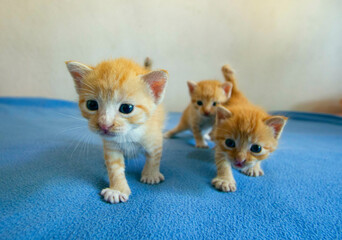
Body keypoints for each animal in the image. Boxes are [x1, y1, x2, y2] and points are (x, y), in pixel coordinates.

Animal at [66, 57, 168, 203]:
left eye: (127, 108)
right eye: (91, 105)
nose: (104, 125)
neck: (128, 134)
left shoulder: (155, 139)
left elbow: (154, 158)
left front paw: (151, 175)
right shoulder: (111, 147)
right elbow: (114, 168)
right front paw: (117, 189)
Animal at [212, 64, 288, 192]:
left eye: (256, 148)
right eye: (229, 143)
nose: (239, 160)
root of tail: (236, 93)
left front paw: (254, 167)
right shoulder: (221, 146)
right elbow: (222, 162)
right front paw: (225, 180)